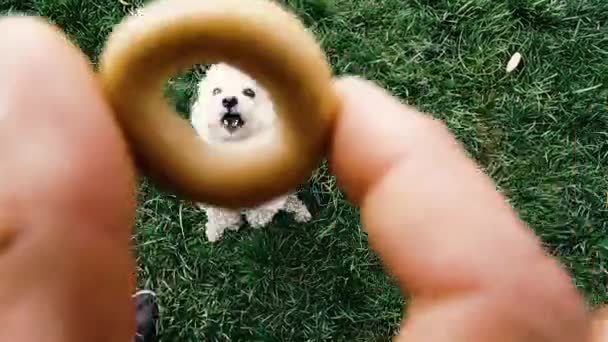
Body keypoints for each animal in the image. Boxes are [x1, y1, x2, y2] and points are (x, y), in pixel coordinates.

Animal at [191, 62, 314, 242]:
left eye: (249, 92)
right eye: (216, 91)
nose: (228, 100)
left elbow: (261, 212)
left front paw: (255, 221)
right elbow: (220, 215)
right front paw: (222, 228)